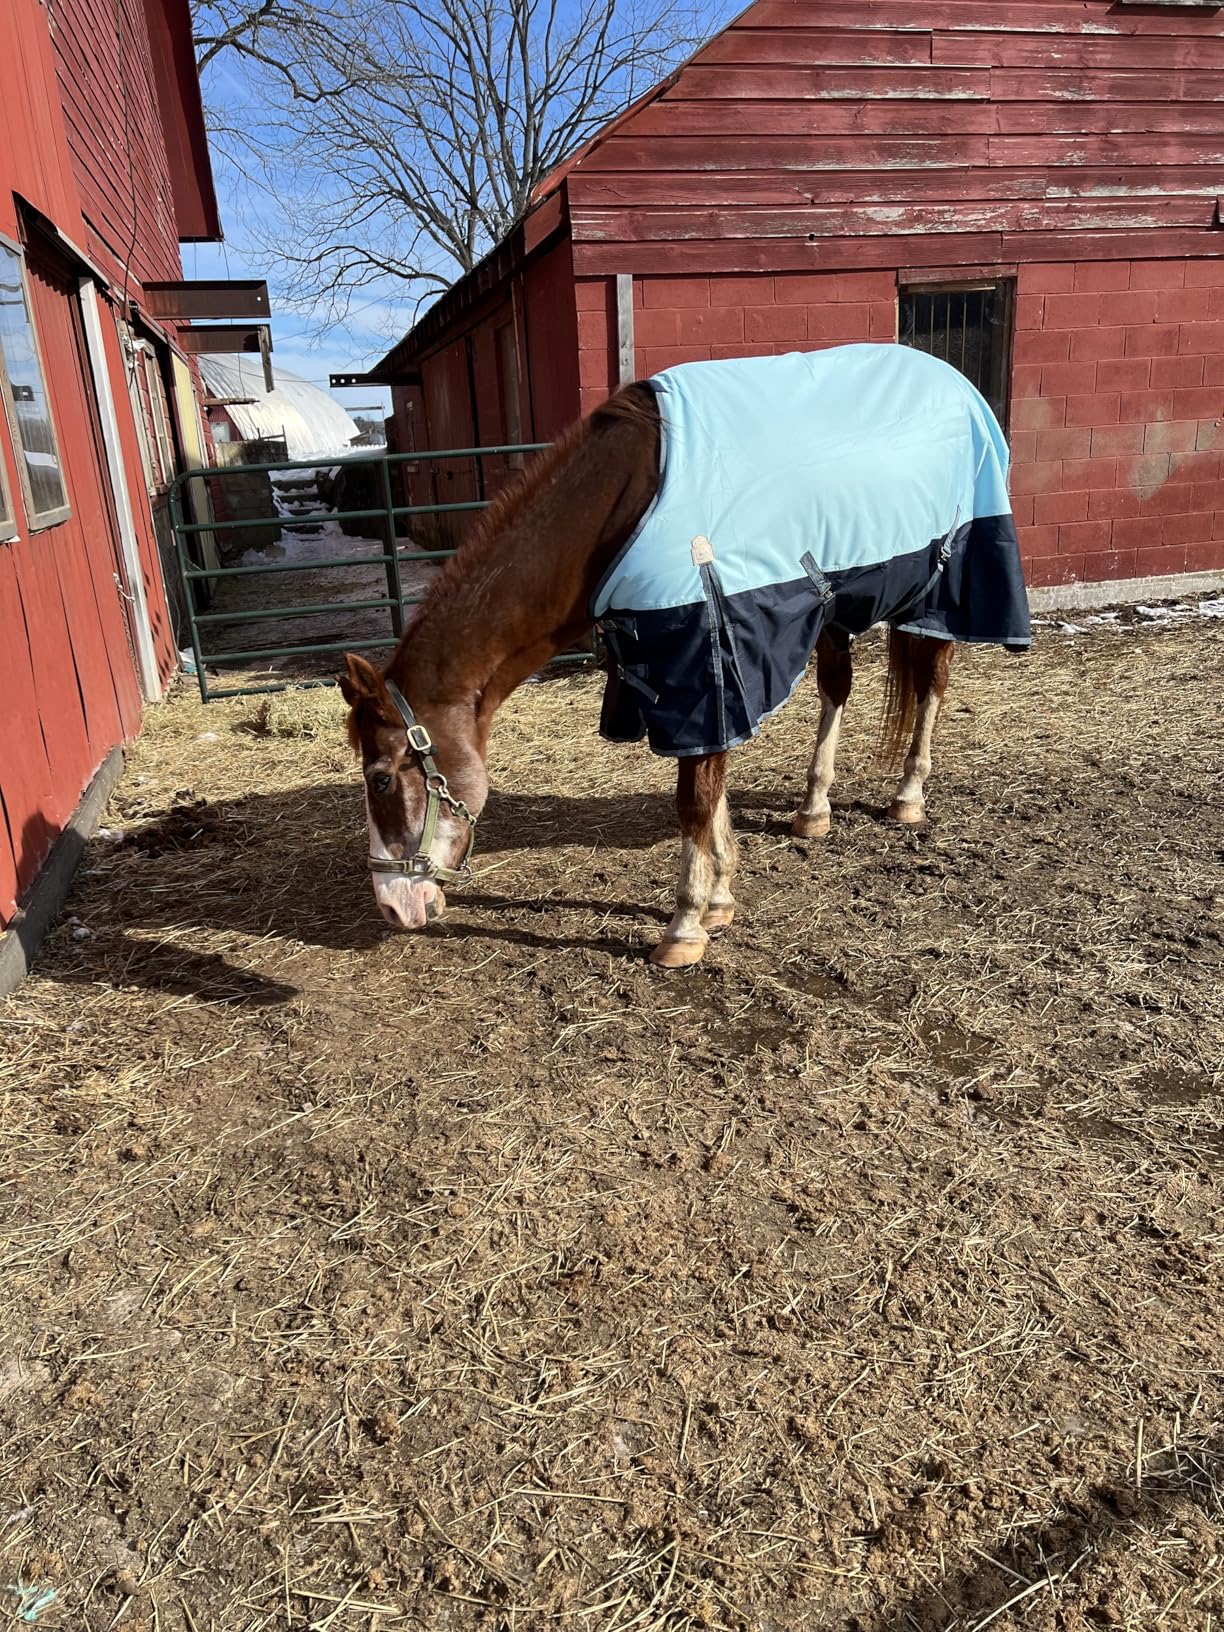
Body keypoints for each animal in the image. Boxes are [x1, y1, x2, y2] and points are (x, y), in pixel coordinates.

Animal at [339, 344, 1030, 968]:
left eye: (380, 778)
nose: (392, 906)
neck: (624, 508)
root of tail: (956, 383)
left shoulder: (699, 653)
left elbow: (695, 797)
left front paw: (687, 924)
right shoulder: (690, 668)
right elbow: (712, 782)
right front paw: (721, 895)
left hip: (939, 590)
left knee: (932, 683)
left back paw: (909, 795)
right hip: (836, 605)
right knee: (838, 687)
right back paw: (813, 809)